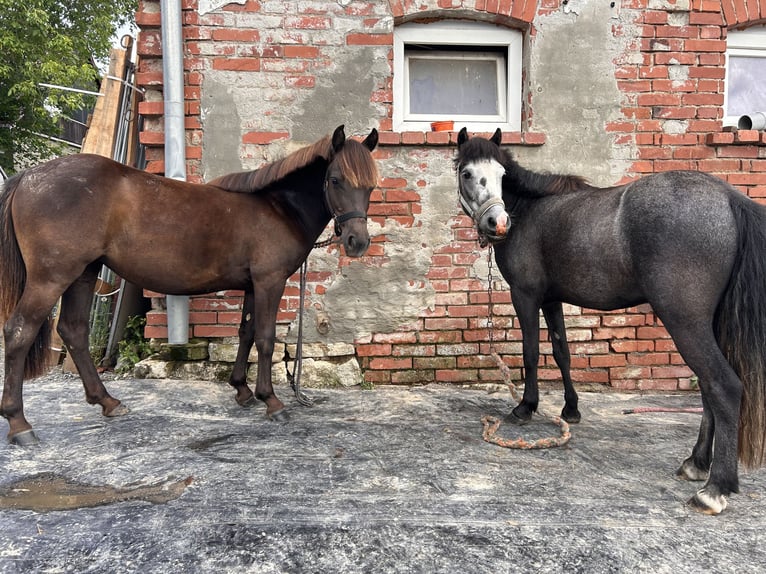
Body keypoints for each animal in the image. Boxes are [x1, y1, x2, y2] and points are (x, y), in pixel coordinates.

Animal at [1, 126, 380, 448]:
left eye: (371, 186)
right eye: (335, 180)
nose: (357, 242)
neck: (277, 208)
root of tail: (28, 178)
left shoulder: (252, 285)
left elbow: (245, 333)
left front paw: (242, 390)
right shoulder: (269, 281)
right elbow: (265, 339)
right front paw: (272, 401)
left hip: (83, 273)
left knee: (74, 330)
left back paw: (107, 401)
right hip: (52, 277)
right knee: (19, 332)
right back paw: (20, 424)